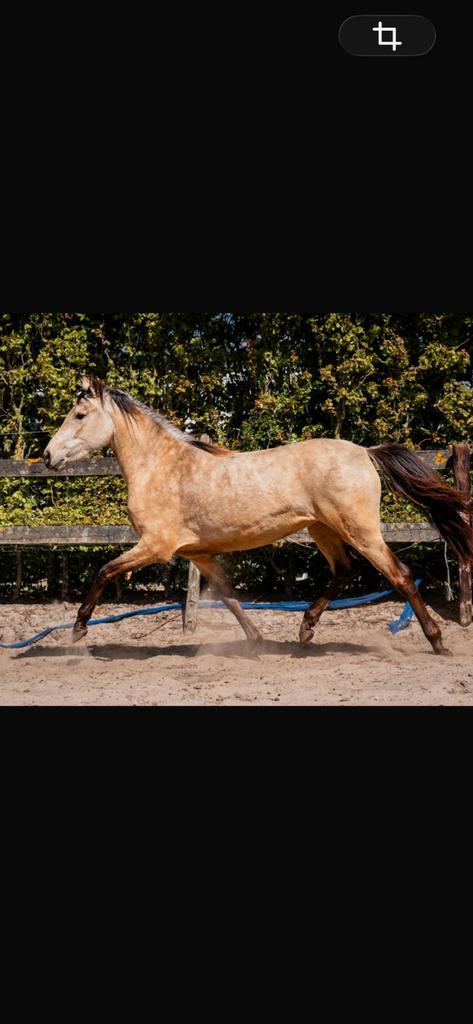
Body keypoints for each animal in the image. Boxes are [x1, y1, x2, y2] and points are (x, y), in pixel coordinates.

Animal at [44, 373, 473, 655]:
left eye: (79, 415)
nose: (48, 456)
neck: (161, 466)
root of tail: (365, 452)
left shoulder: (156, 546)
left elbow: (104, 571)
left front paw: (79, 629)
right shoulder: (198, 553)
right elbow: (230, 597)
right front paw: (256, 641)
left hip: (360, 530)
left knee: (400, 575)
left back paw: (437, 643)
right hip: (323, 530)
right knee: (344, 572)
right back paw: (305, 629)